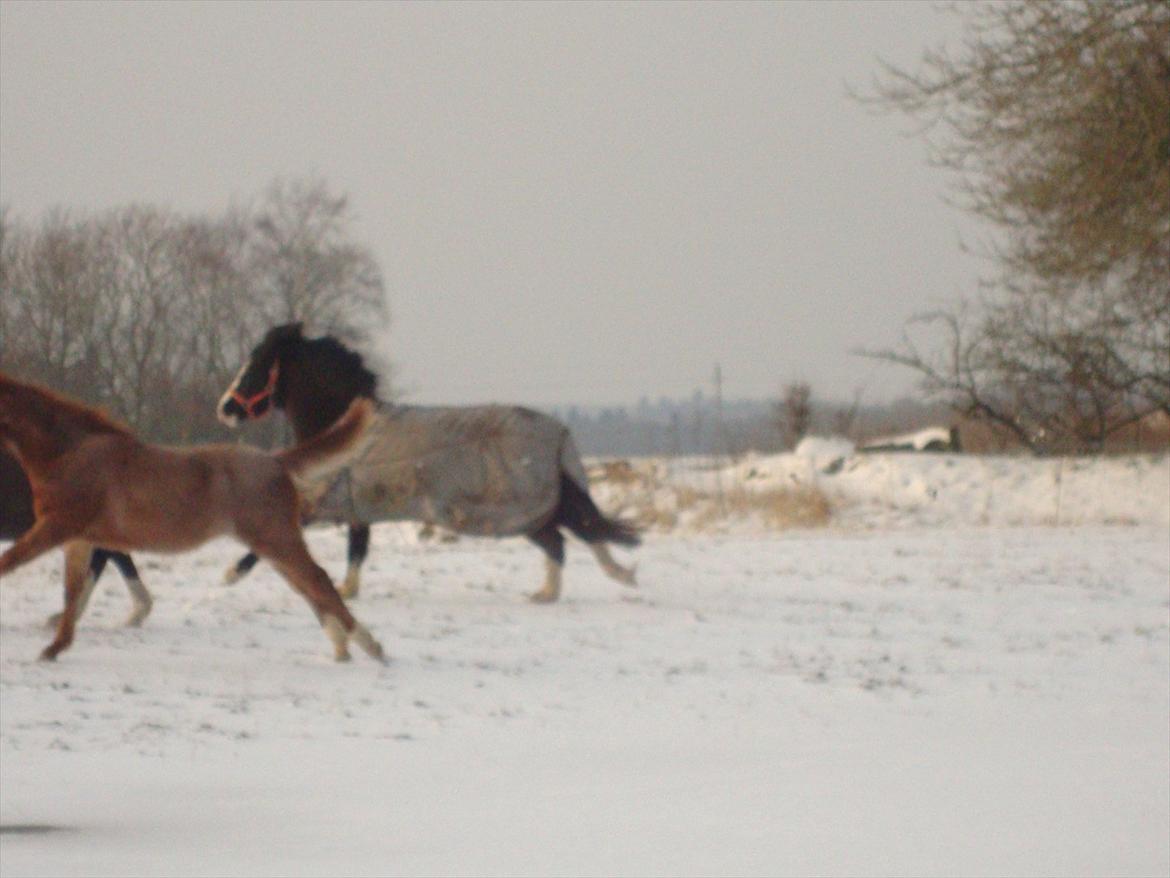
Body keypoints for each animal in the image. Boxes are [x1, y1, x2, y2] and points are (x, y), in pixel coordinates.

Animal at [219, 323, 641, 604]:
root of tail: (558, 433)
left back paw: (556, 591)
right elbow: (357, 550)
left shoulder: (324, 501)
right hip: (536, 507)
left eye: (255, 365)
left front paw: (230, 574)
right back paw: (602, 578)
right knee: (579, 532)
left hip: (523, 510)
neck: (342, 426)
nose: (224, 408)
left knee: (565, 539)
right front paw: (347, 589)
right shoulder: (358, 507)